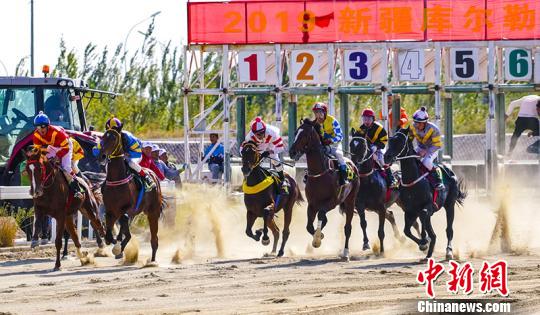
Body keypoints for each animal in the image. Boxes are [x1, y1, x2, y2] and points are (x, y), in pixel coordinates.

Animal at [98, 130, 162, 266]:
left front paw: (118, 247)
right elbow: (109, 237)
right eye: (102, 138)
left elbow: (125, 229)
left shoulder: (128, 208)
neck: (117, 179)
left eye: (113, 139)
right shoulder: (110, 211)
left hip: (153, 212)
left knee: (154, 239)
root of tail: (153, 174)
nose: (102, 156)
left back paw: (153, 261)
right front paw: (116, 244)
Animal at [288, 119, 360, 262]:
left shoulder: (332, 201)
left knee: (347, 228)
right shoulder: (312, 204)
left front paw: (317, 239)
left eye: (304, 134)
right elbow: (309, 226)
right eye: (295, 132)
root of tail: (352, 164)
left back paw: (345, 253)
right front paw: (318, 236)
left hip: (350, 200)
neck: (320, 174)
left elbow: (321, 214)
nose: (291, 152)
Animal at [382, 127, 466, 260]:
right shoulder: (409, 210)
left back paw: (449, 251)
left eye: (400, 141)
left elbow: (425, 221)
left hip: (449, 205)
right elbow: (407, 230)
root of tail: (449, 171)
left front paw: (427, 244)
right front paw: (423, 243)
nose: (387, 157)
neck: (413, 181)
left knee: (449, 229)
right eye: (390, 141)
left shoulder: (428, 207)